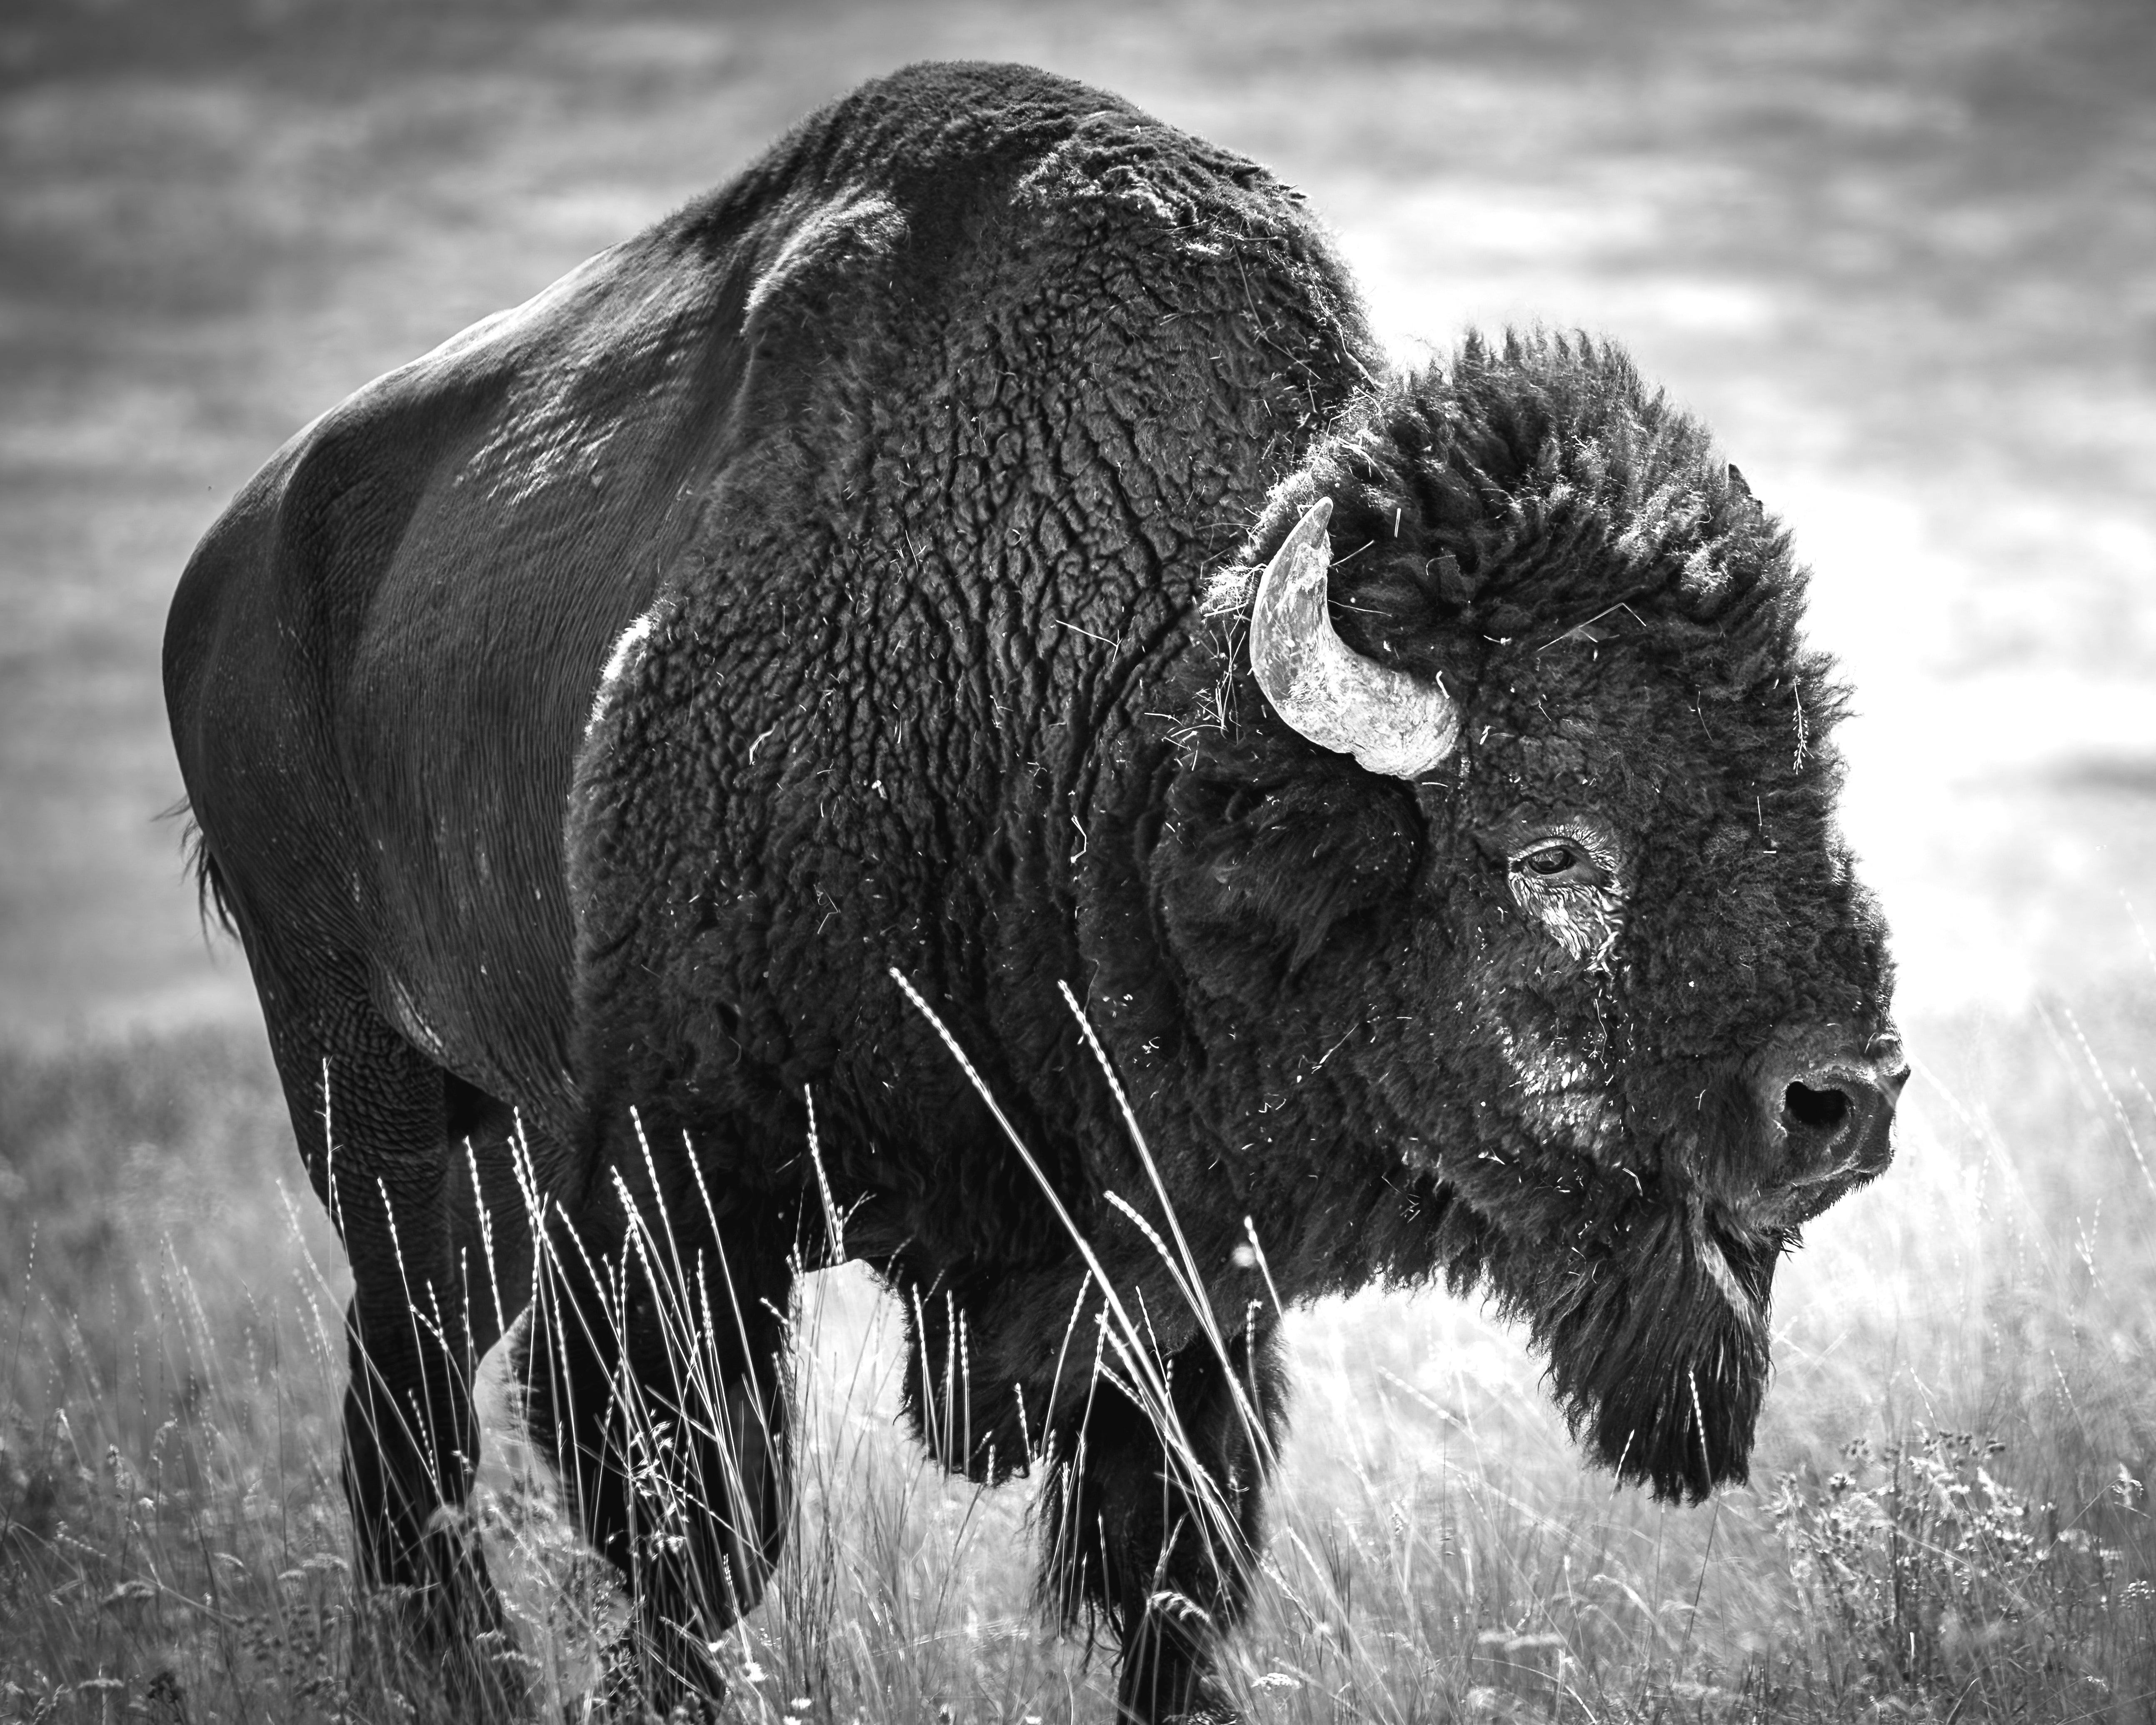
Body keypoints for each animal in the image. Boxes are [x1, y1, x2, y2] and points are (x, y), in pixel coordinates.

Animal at [164, 61, 1903, 1723]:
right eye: (1553, 846)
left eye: (1803, 776)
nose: (1839, 1101)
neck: (1103, 754)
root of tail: (230, 559)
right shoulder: (680, 1196)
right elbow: (694, 1539)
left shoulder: (1183, 1287)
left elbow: (1171, 1579)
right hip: (372, 1089)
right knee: (414, 1377)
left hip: (497, 1146)